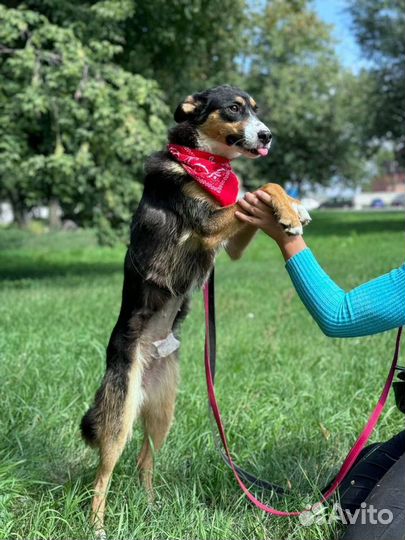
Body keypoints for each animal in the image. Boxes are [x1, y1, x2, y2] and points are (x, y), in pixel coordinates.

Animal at [81, 84, 310, 536]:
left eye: (256, 109)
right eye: (234, 108)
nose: (267, 135)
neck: (204, 163)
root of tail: (148, 360)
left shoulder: (230, 242)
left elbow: (259, 190)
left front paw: (294, 206)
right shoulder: (206, 228)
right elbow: (256, 190)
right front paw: (290, 212)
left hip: (162, 413)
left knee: (145, 462)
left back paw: (151, 509)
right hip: (119, 419)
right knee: (104, 475)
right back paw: (97, 526)